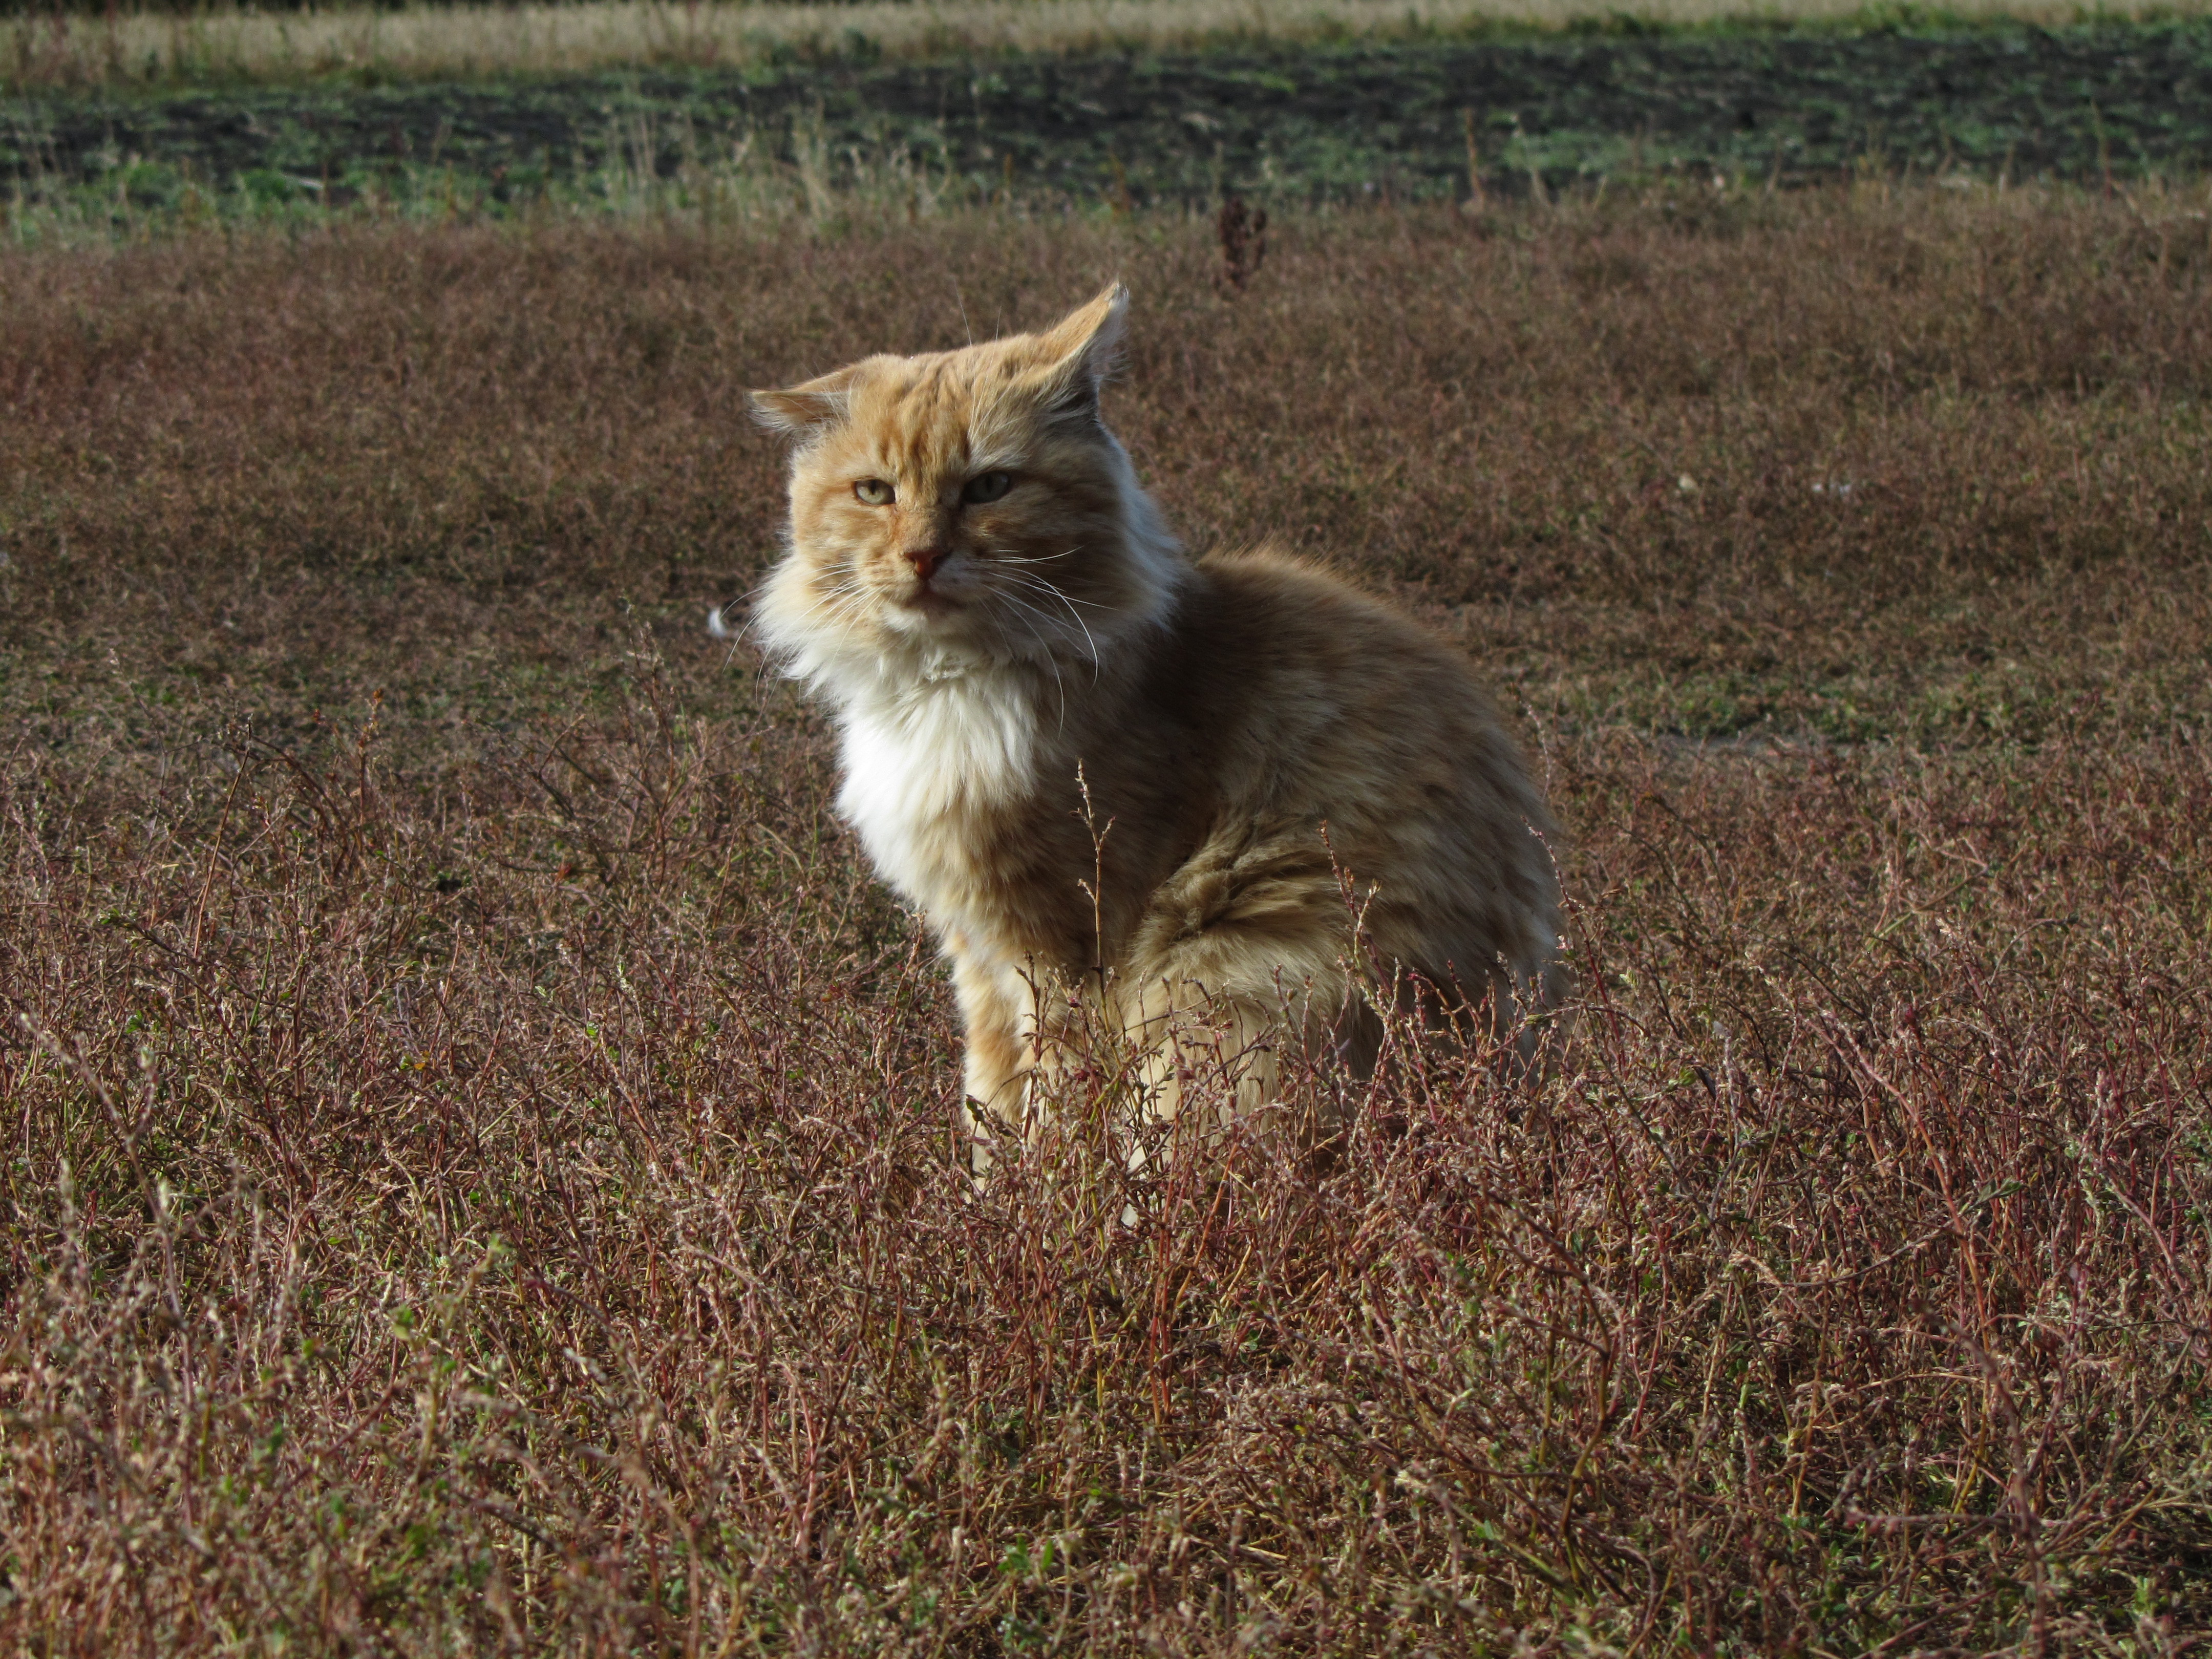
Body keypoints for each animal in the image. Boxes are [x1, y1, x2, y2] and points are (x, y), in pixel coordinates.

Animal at [752, 283, 1566, 1167]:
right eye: (875, 494)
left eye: (989, 487)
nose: (924, 556)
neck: (950, 688)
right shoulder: (979, 953)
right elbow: (990, 1100)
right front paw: (986, 1195)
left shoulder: (1064, 943)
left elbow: (1051, 1106)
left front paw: (1051, 1200)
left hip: (1228, 993)